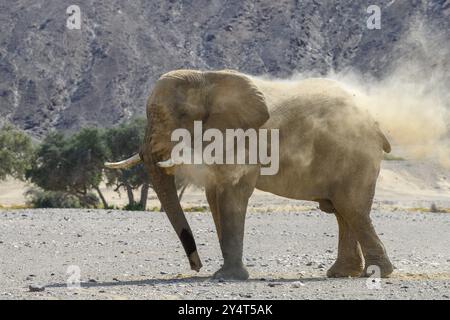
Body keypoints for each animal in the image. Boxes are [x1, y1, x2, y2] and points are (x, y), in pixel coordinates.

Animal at [105, 69, 394, 280]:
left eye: (182, 116)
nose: (196, 266)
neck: (207, 78)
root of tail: (376, 125)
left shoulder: (244, 139)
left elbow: (234, 194)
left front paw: (226, 277)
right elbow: (214, 196)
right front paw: (224, 274)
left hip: (356, 157)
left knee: (351, 208)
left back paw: (376, 274)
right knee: (342, 211)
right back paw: (341, 274)